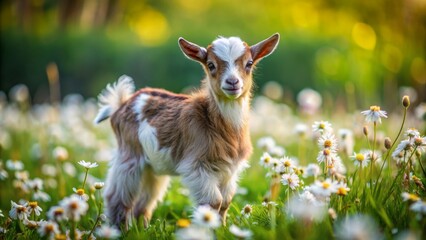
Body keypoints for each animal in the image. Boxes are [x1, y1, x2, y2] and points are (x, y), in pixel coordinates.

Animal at [94, 32, 280, 228]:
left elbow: (225, 202)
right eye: (211, 65)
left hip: (152, 167)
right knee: (116, 196)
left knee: (145, 201)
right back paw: (120, 229)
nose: (232, 82)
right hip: (129, 154)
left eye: (249, 63)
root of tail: (121, 103)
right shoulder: (197, 166)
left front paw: (222, 229)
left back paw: (142, 229)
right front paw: (210, 228)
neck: (219, 126)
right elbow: (213, 202)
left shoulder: (229, 170)